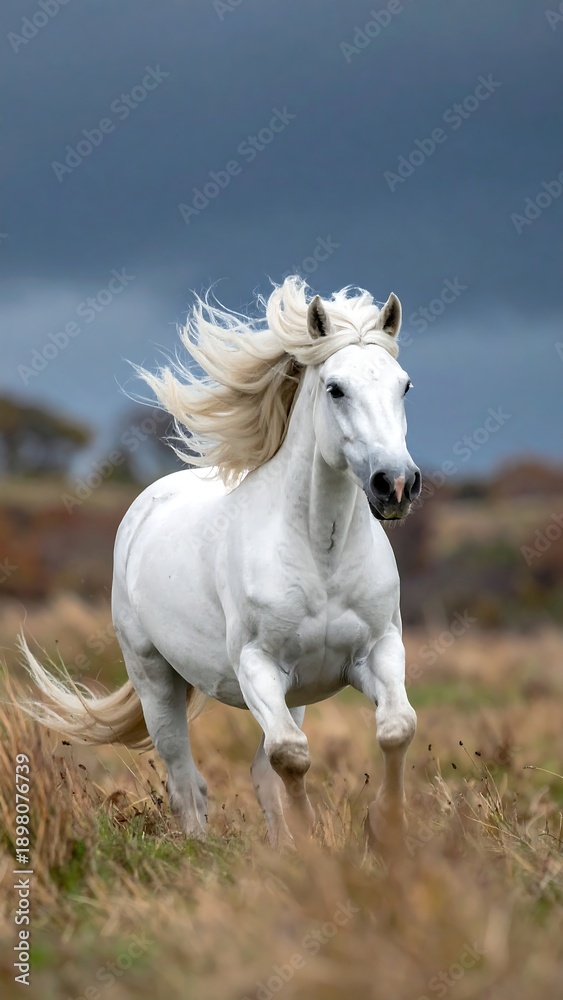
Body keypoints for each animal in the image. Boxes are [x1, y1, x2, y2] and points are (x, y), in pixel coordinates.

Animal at [18, 277, 422, 850]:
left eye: (403, 386)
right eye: (335, 388)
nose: (397, 485)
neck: (320, 554)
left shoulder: (377, 651)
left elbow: (394, 729)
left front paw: (384, 831)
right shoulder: (257, 665)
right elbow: (290, 755)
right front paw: (310, 844)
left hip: (295, 692)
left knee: (257, 769)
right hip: (154, 679)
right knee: (186, 779)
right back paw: (198, 846)